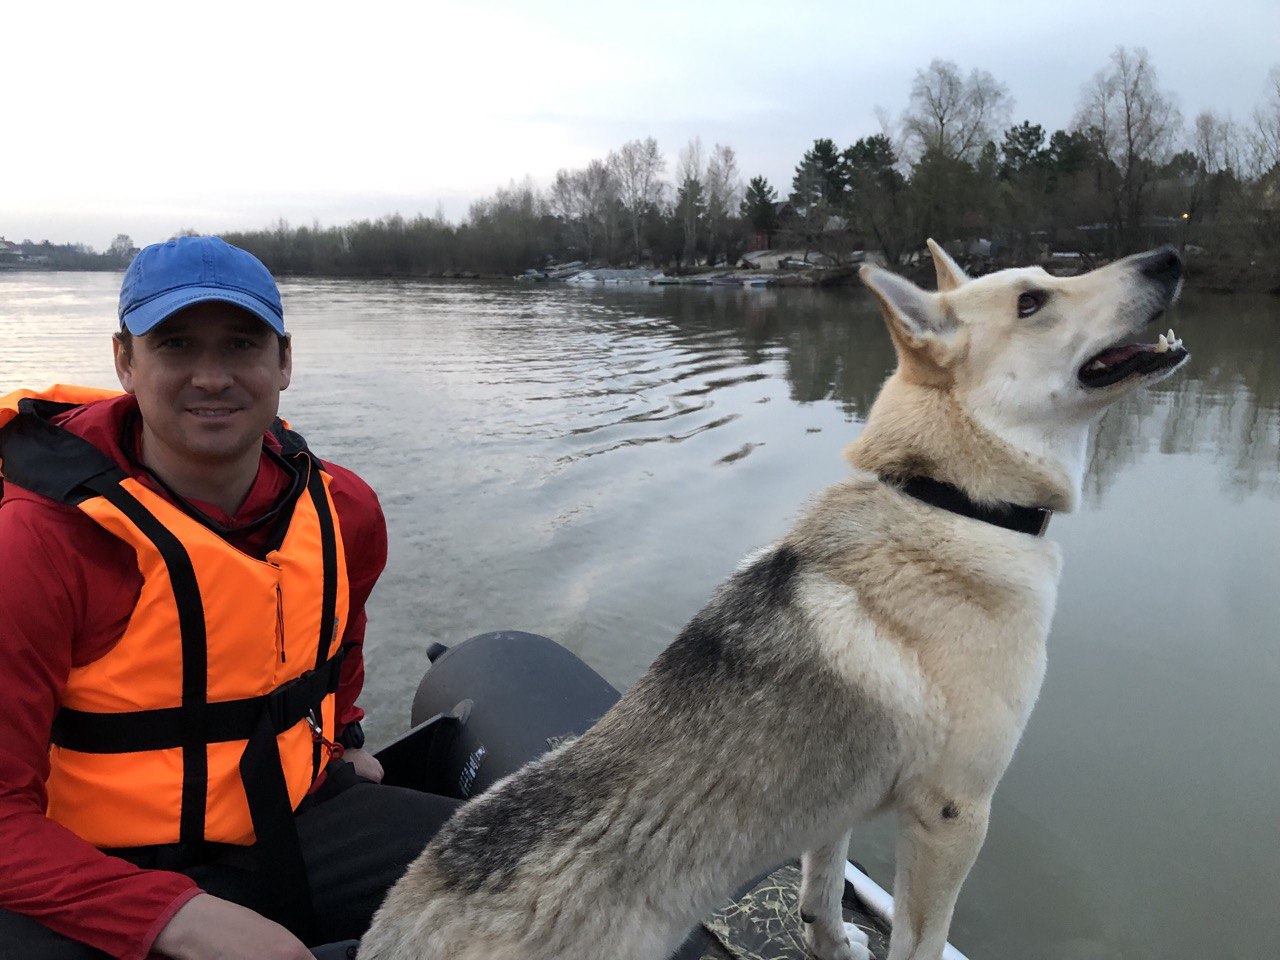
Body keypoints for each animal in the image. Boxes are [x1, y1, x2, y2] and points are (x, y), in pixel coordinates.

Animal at [360, 241, 1187, 960]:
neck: (949, 499)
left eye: (1046, 278)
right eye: (1032, 301)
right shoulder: (954, 815)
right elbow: (917, 942)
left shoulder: (839, 805)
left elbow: (820, 891)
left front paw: (833, 945)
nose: (1169, 257)